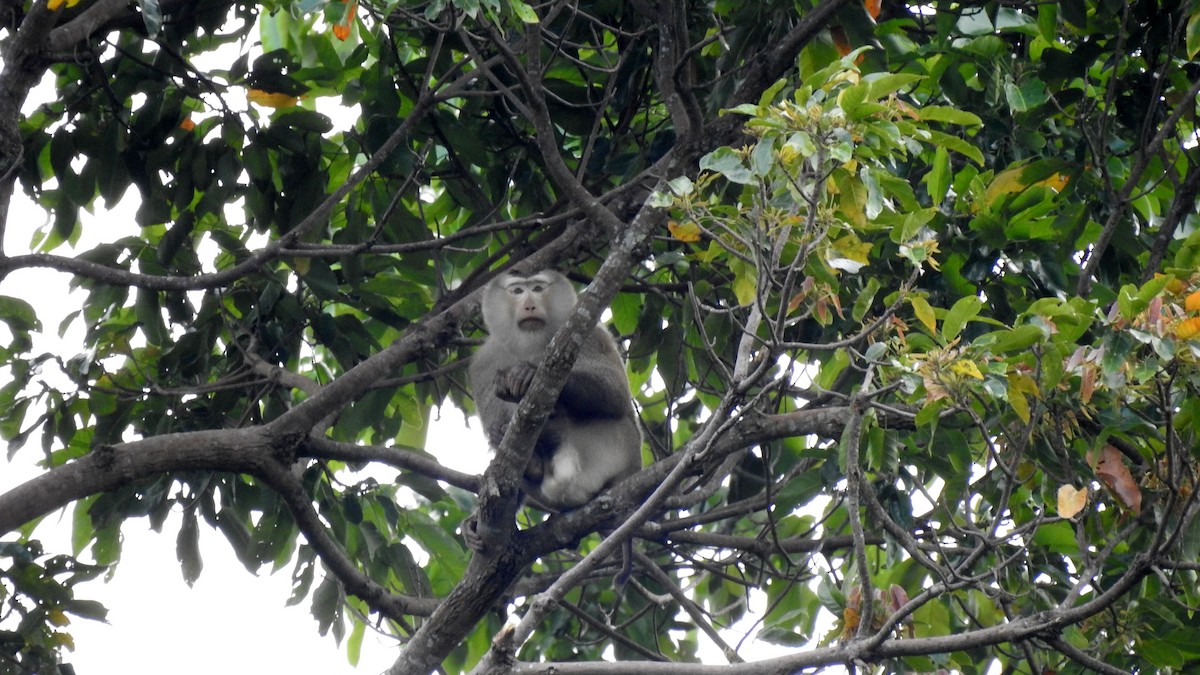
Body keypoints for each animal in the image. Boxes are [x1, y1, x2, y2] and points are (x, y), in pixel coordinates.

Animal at [469, 269, 642, 514]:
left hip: (618, 445)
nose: (530, 305)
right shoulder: (484, 362)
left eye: (538, 288)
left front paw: (529, 373)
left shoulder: (590, 334)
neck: (529, 344)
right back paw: (533, 463)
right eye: (517, 290)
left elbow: (615, 393)